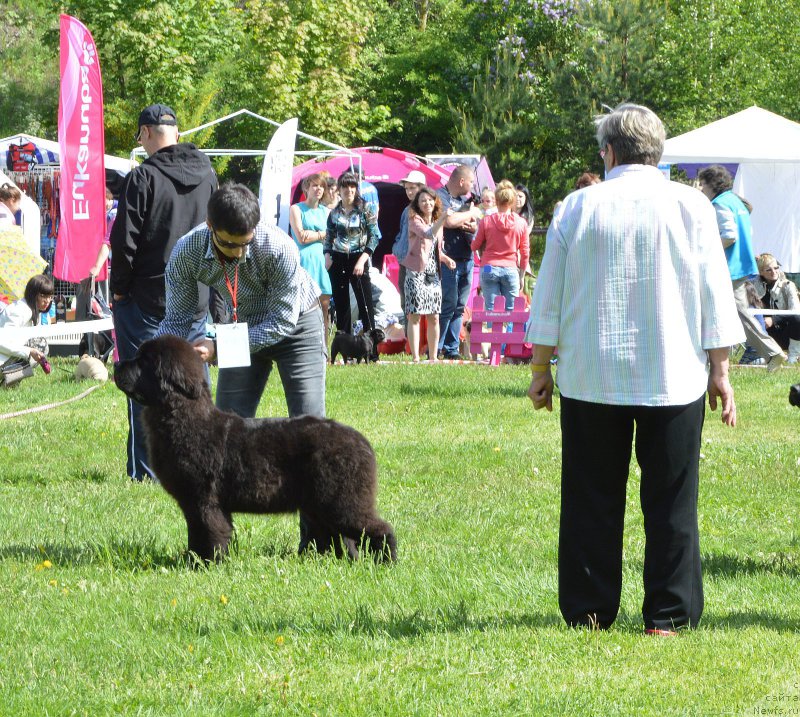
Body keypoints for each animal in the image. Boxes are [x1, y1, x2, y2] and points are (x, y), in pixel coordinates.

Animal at [113, 336, 396, 564]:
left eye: (143, 361)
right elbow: (199, 534)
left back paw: (388, 561)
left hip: (341, 502)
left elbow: (208, 532)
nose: (116, 365)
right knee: (345, 539)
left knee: (380, 529)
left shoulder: (203, 500)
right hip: (322, 506)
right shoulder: (196, 503)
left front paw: (205, 564)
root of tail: (362, 442)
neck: (181, 416)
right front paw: (194, 559)